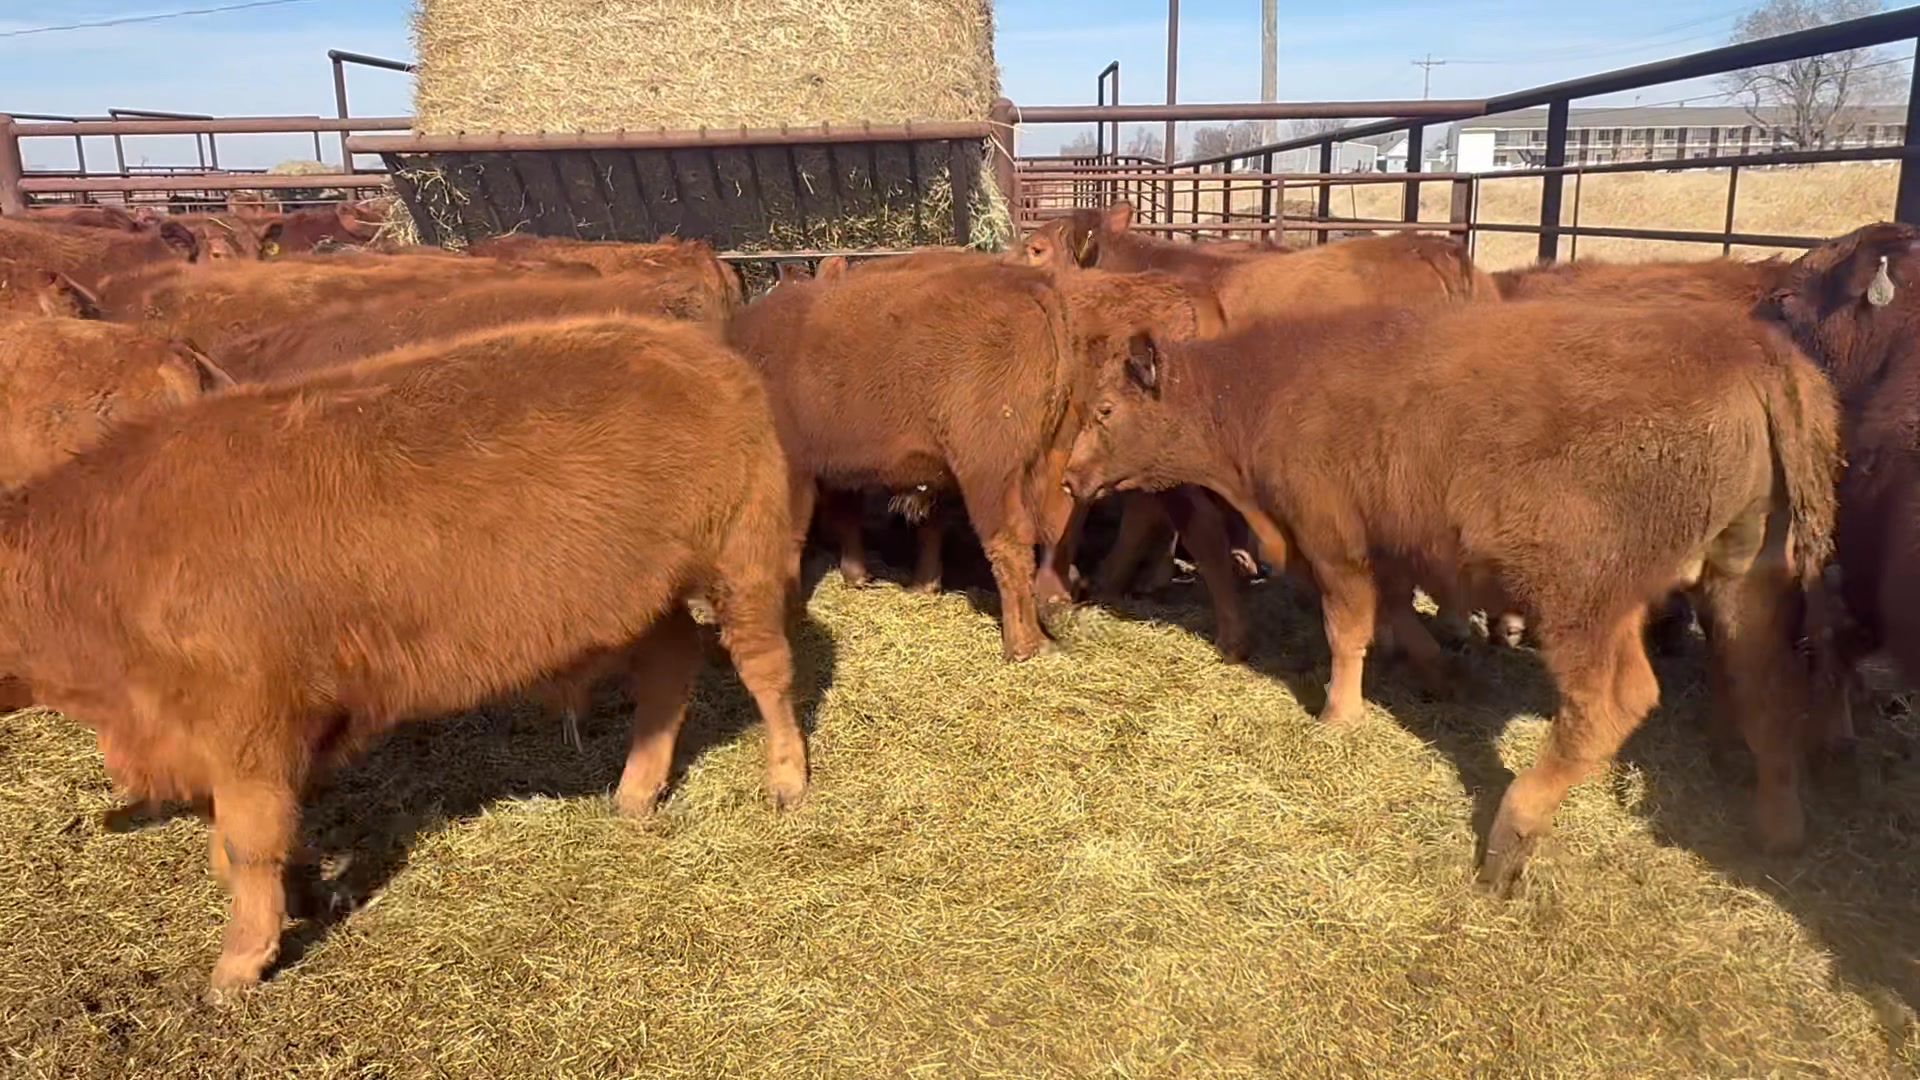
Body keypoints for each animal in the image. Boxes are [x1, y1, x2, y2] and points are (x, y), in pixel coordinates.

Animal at [0, 315, 807, 997]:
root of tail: (693, 345)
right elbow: (261, 838)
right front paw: (303, 896)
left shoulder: (247, 730)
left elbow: (247, 843)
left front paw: (239, 963)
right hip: (645, 593)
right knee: (670, 665)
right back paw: (637, 791)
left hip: (743, 559)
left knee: (766, 668)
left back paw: (787, 777)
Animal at [729, 257, 1219, 659]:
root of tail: (1031, 286)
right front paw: (880, 578)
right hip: (1055, 456)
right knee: (1061, 526)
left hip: (991, 474)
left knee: (1010, 542)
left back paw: (1023, 643)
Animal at [1060, 298, 1840, 893]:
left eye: (1104, 410)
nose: (1069, 479)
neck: (1269, 388)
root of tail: (1746, 346)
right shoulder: (1387, 546)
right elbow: (1397, 615)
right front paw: (1443, 673)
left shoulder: (1333, 541)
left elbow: (1347, 629)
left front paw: (1338, 716)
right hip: (1744, 583)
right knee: (1767, 688)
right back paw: (1779, 823)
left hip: (1583, 603)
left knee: (1611, 703)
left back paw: (1512, 834)